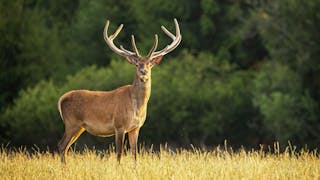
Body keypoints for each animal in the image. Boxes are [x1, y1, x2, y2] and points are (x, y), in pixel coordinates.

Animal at [57, 18, 181, 163]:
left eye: (150, 64)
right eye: (137, 64)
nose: (143, 72)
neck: (137, 108)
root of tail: (61, 99)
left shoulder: (135, 128)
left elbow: (135, 154)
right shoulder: (119, 125)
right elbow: (119, 154)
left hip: (79, 127)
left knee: (65, 147)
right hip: (72, 122)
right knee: (61, 145)